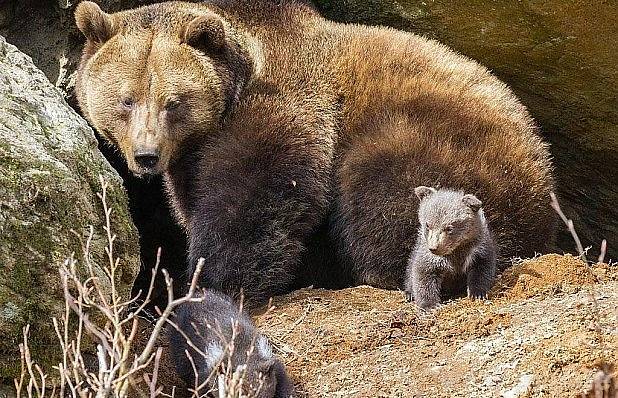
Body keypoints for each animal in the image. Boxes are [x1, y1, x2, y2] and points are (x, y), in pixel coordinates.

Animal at [74, 0, 556, 306]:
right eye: (126, 99)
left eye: (172, 101)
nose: (146, 155)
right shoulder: (189, 159)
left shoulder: (284, 107)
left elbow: (258, 197)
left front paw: (217, 280)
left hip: (442, 142)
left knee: (383, 194)